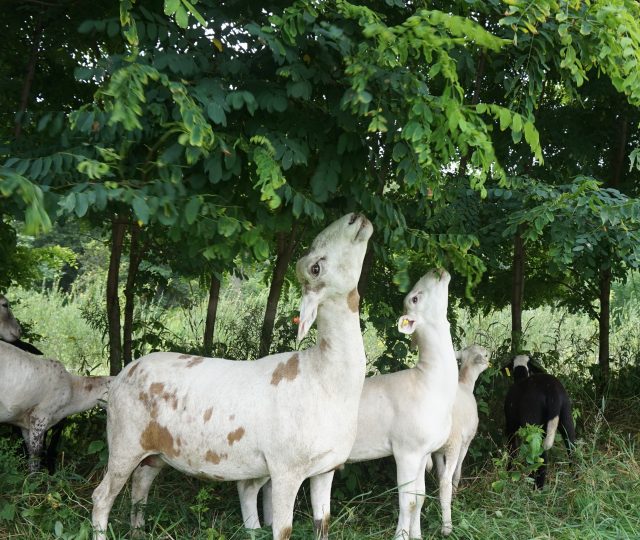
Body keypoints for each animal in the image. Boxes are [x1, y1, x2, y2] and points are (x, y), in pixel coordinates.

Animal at [0, 341, 113, 472]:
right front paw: (35, 476)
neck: (73, 392)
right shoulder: (40, 416)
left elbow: (30, 452)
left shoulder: (25, 425)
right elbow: (36, 454)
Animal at [90, 213, 373, 540]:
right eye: (316, 268)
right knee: (102, 496)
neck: (323, 374)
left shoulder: (326, 469)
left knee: (141, 485)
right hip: (124, 440)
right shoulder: (285, 468)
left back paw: (138, 531)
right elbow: (283, 529)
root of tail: (121, 374)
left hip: (156, 450)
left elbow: (322, 524)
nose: (355, 217)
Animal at [246, 270, 459, 539]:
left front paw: (417, 535)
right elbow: (407, 501)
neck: (429, 380)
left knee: (263, 487)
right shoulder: (406, 450)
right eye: (415, 299)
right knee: (248, 487)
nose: (437, 270)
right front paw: (402, 535)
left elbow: (419, 497)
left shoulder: (422, 451)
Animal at [427, 344, 490, 535]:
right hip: (453, 445)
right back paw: (447, 526)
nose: (490, 356)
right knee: (446, 482)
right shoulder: (465, 442)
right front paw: (454, 494)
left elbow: (440, 473)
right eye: (485, 354)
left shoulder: (437, 452)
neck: (465, 383)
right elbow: (457, 471)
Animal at [504, 354, 576, 488]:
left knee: (539, 456)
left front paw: (509, 471)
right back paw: (576, 476)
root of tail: (552, 390)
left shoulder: (511, 425)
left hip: (533, 423)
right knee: (571, 447)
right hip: (566, 415)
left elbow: (512, 449)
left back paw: (537, 486)